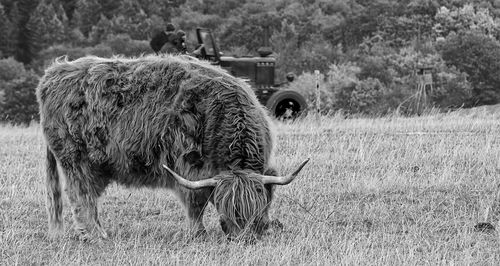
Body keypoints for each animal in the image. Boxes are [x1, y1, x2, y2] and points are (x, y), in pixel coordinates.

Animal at [36, 54, 308, 241]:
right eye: (226, 216)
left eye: (257, 212)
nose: (245, 239)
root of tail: (54, 73)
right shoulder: (188, 165)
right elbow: (195, 202)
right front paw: (198, 234)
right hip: (76, 160)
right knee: (80, 195)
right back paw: (94, 235)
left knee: (88, 198)